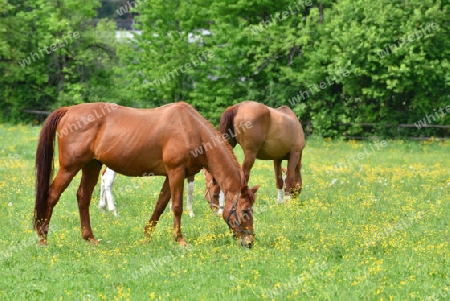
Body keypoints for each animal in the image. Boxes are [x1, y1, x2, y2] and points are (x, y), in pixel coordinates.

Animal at [33, 102, 258, 247]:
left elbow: (160, 205)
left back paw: (90, 238)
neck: (192, 130)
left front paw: (146, 236)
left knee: (83, 197)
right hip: (70, 167)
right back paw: (43, 238)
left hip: (92, 166)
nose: (250, 242)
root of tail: (69, 110)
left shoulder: (171, 175)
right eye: (245, 211)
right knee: (52, 195)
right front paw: (180, 240)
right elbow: (177, 207)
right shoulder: (176, 172)